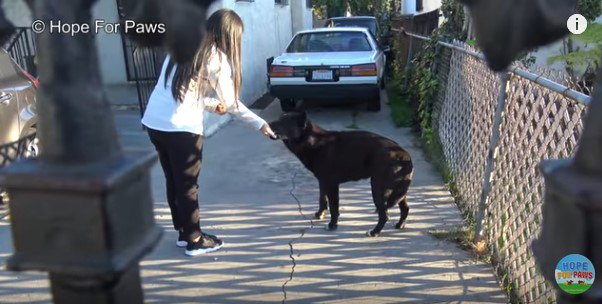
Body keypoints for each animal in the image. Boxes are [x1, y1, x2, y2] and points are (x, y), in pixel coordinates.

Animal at [268, 112, 412, 238]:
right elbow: (322, 199)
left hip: (378, 188)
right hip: (398, 190)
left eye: (284, 121)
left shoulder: (332, 184)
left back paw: (374, 232)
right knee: (405, 208)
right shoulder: (323, 181)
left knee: (384, 215)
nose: (267, 123)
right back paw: (400, 225)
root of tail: (404, 155)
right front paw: (320, 214)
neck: (312, 139)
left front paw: (332, 225)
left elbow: (334, 207)